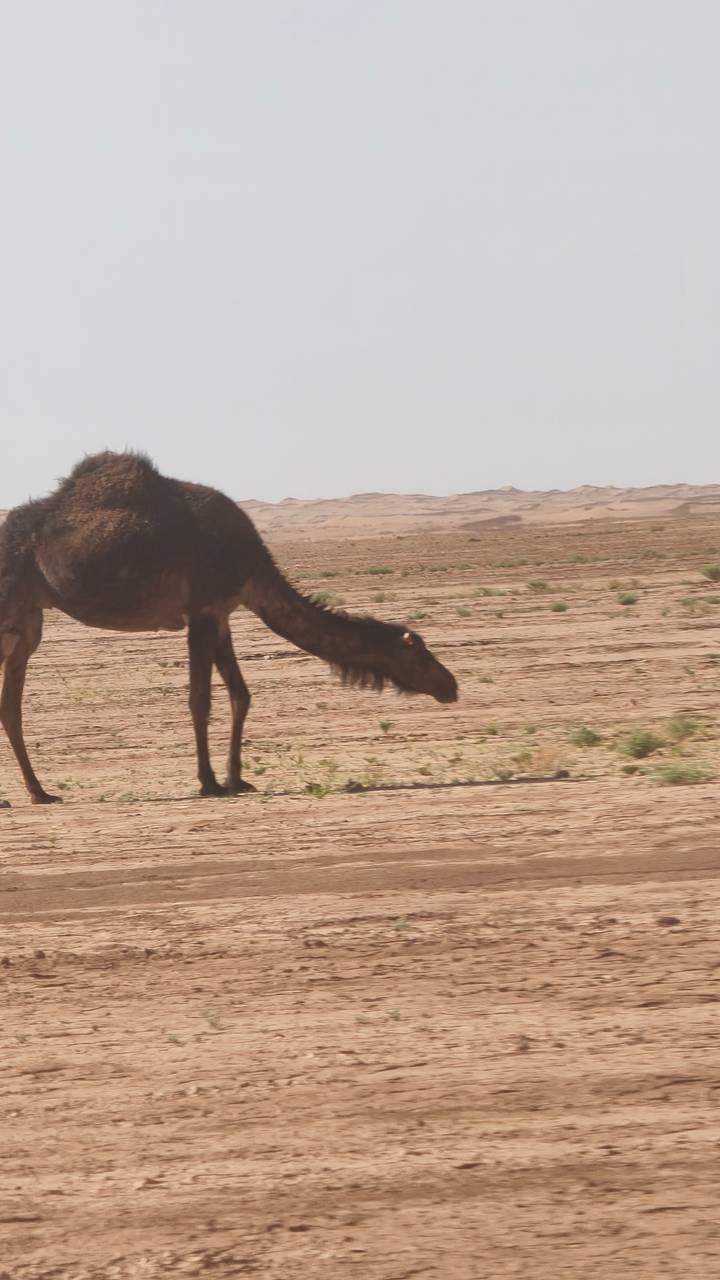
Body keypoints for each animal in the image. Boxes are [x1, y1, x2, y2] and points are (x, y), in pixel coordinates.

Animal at [0, 452, 458, 805]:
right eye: (420, 655)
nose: (451, 686)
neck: (251, 562)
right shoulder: (202, 611)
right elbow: (200, 700)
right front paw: (209, 783)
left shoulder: (220, 614)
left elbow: (241, 694)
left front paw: (237, 778)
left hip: (28, 623)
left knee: (11, 704)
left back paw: (38, 793)